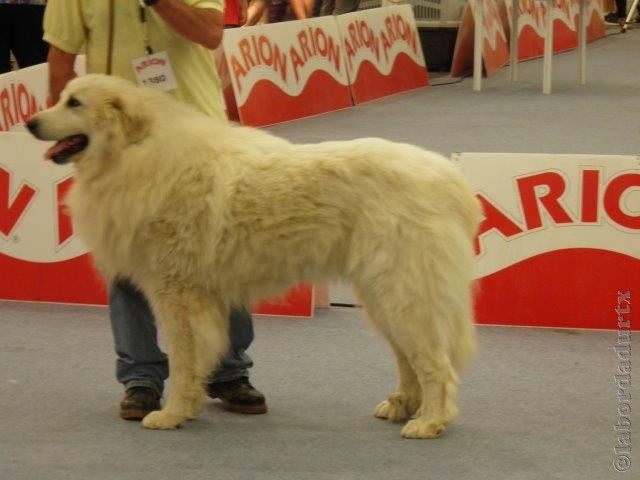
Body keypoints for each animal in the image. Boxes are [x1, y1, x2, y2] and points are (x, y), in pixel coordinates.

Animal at [28, 74, 480, 438]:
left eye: (74, 103)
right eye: (61, 96)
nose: (29, 123)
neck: (137, 153)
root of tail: (450, 178)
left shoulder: (177, 295)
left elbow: (184, 359)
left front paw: (173, 414)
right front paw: (186, 408)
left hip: (401, 294)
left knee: (435, 365)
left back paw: (429, 421)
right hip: (383, 296)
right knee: (408, 359)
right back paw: (402, 406)